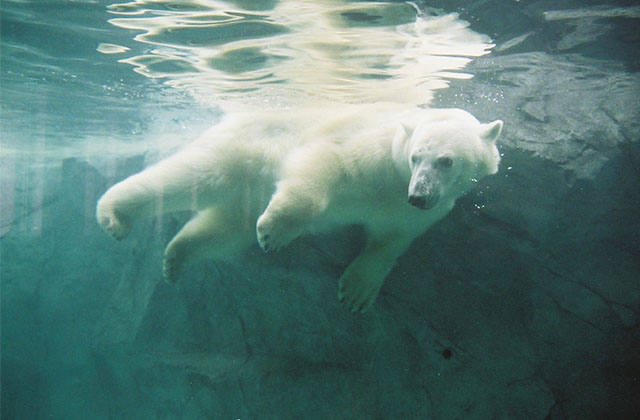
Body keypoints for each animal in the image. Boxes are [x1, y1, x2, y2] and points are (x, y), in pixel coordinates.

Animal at [97, 103, 502, 310]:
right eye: (417, 156)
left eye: (446, 161)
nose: (417, 195)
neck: (394, 174)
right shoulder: (366, 150)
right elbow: (322, 164)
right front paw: (274, 231)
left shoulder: (415, 211)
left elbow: (389, 242)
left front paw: (356, 292)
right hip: (244, 147)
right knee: (193, 175)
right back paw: (114, 213)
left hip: (246, 191)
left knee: (225, 227)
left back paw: (176, 257)